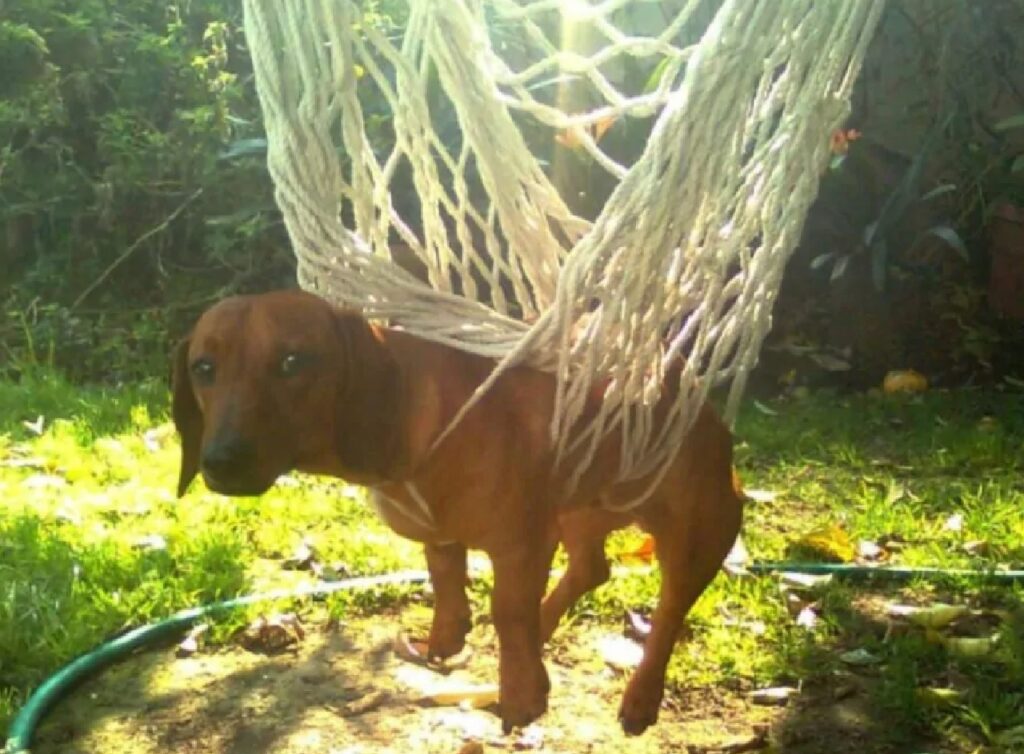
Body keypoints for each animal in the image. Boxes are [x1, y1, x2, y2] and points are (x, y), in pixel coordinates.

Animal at [172, 290, 741, 737]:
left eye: (293, 361)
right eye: (204, 368)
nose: (220, 462)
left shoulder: (521, 544)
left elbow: (507, 611)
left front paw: (521, 692)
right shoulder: (453, 531)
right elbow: (446, 573)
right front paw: (450, 633)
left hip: (697, 531)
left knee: (667, 613)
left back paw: (640, 695)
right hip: (576, 509)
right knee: (590, 569)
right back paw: (545, 624)